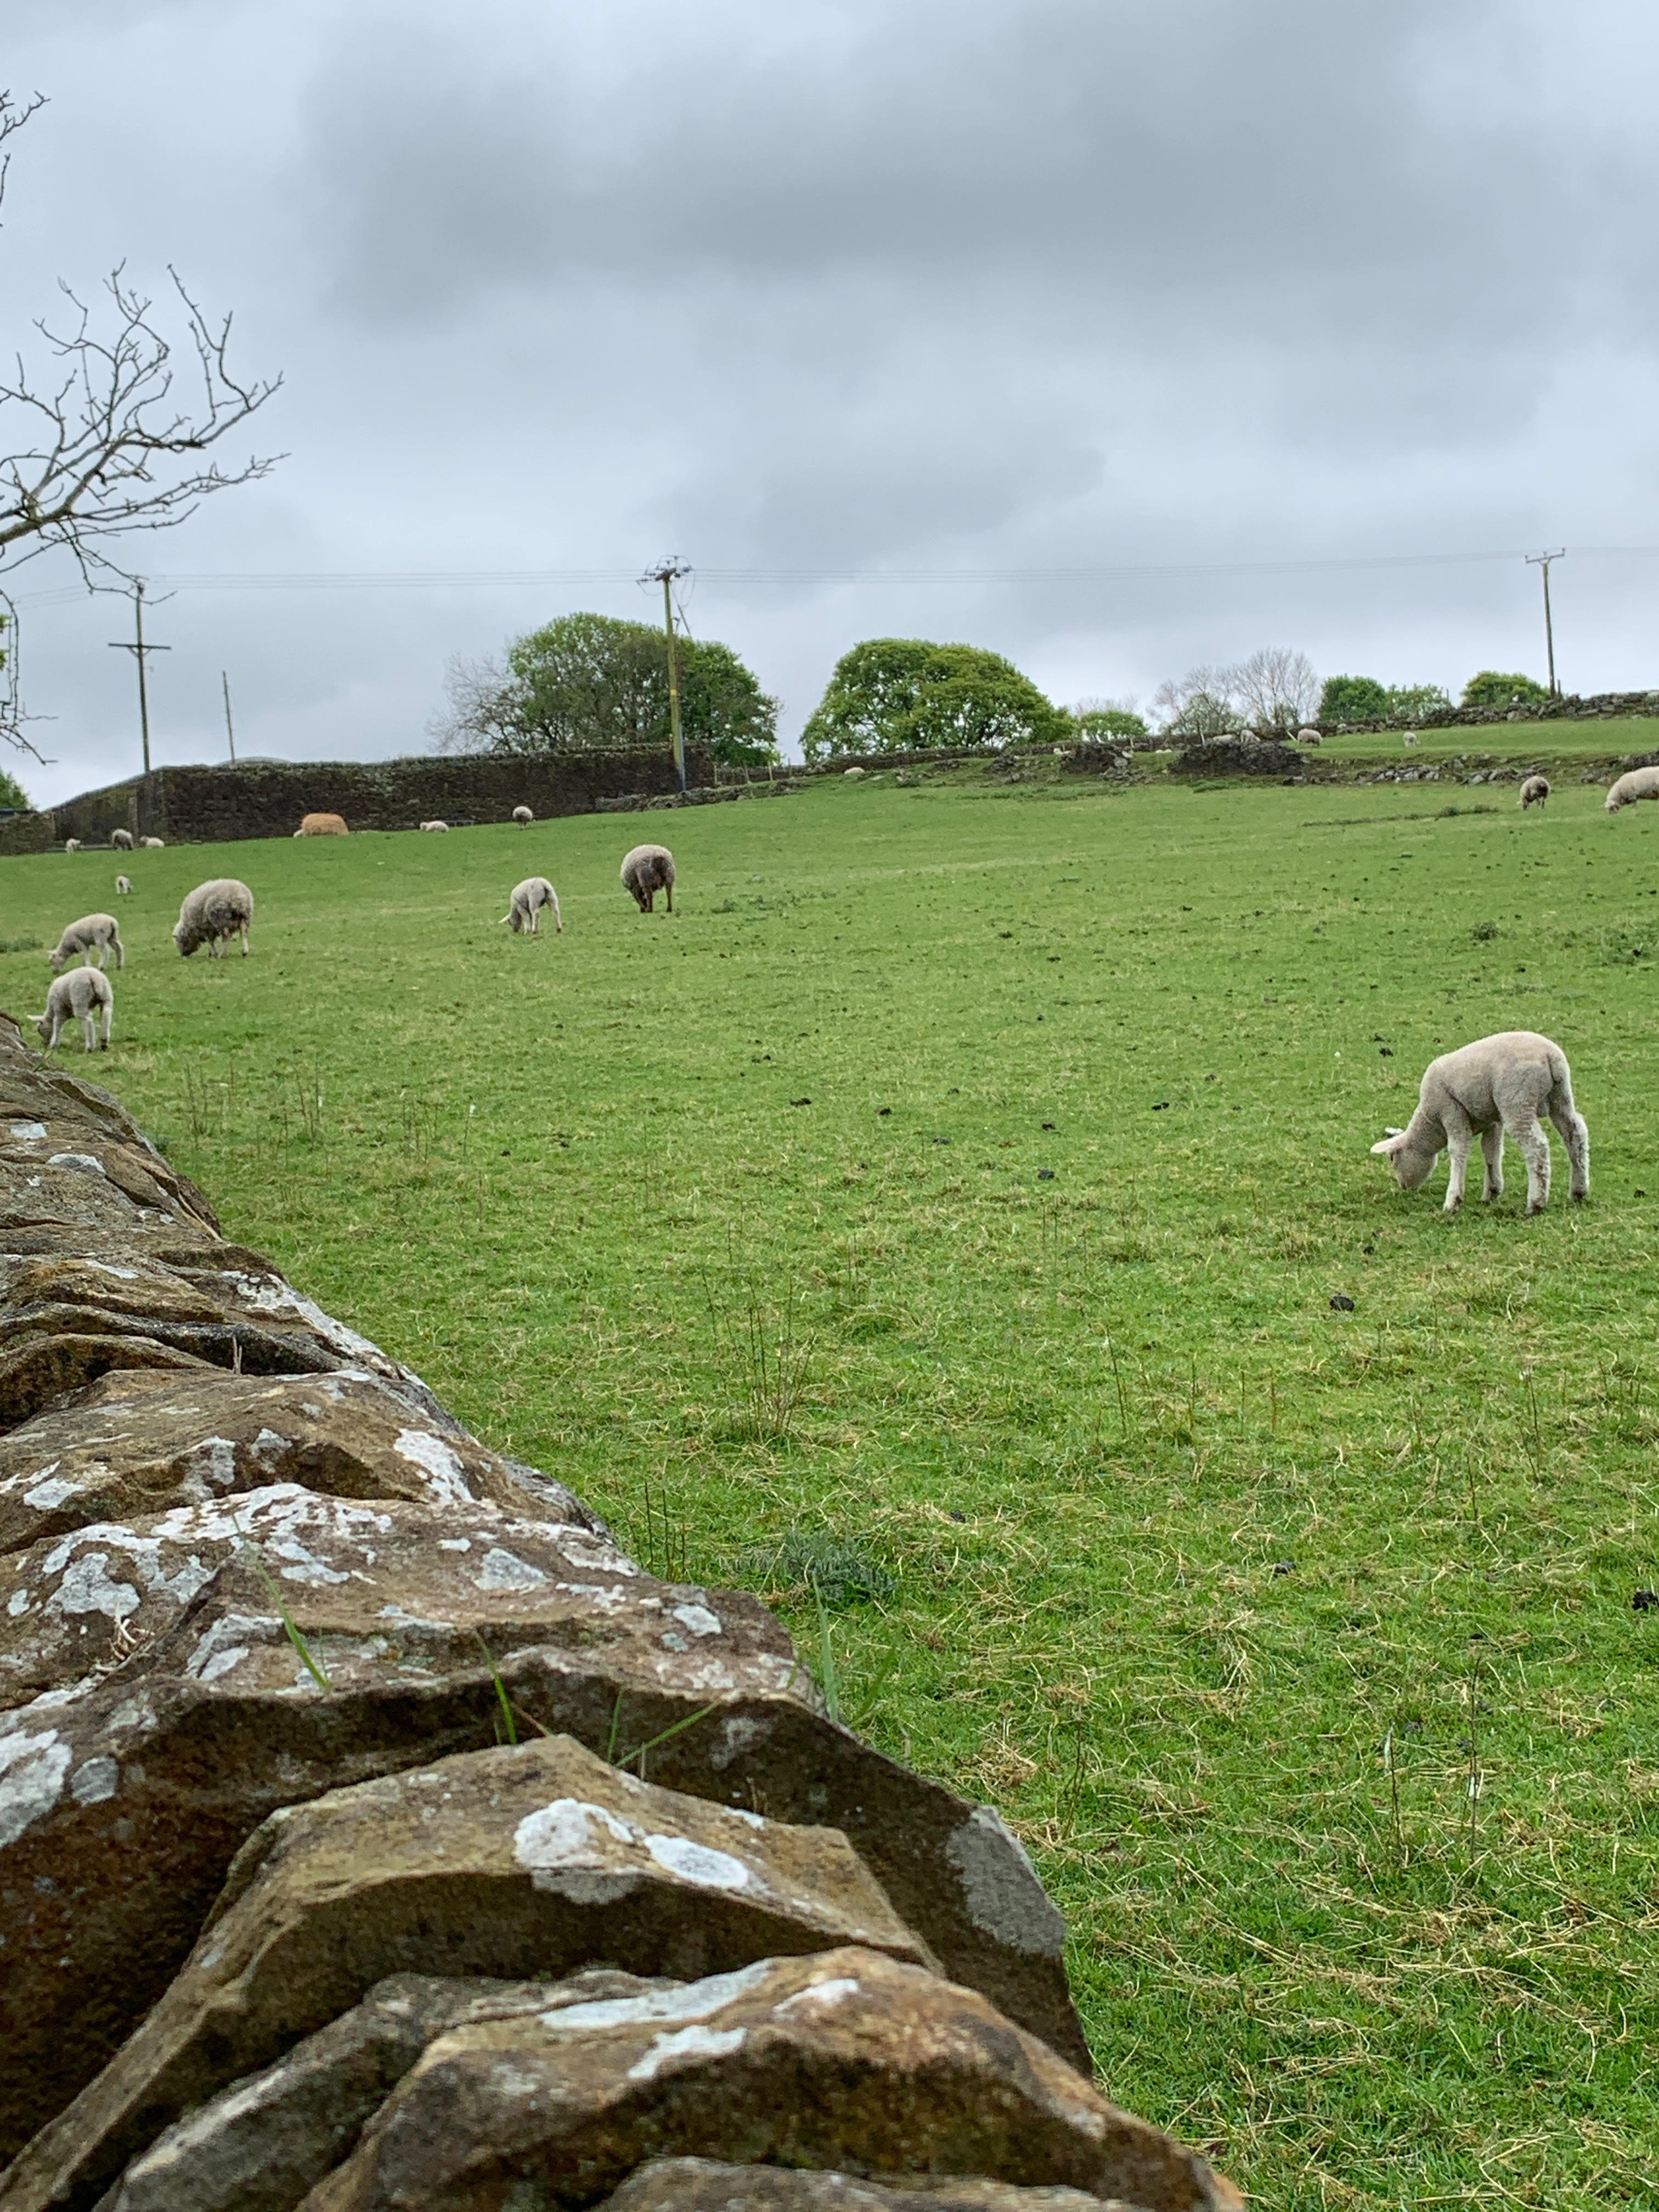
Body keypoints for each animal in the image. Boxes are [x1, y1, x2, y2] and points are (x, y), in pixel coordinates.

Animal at [34, 965, 113, 1053]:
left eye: (39, 1030)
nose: (45, 1044)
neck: (51, 1009)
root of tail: (94, 978)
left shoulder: (58, 1007)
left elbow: (58, 1023)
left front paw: (54, 1045)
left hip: (80, 998)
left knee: (88, 1022)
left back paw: (90, 1048)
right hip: (106, 996)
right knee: (106, 1015)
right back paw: (104, 1043)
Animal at [48, 913, 124, 973]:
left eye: (52, 961)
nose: (54, 972)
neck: (68, 947)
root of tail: (112, 922)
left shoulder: (79, 943)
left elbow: (85, 954)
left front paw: (87, 966)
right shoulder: (86, 944)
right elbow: (86, 954)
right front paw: (84, 967)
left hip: (100, 936)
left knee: (105, 951)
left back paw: (101, 967)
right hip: (112, 936)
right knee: (118, 948)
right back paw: (119, 966)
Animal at [173, 877, 254, 959]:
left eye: (180, 941)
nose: (183, 955)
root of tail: (239, 896)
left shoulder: (205, 928)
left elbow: (210, 941)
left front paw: (214, 953)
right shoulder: (210, 929)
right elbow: (212, 941)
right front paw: (210, 954)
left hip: (221, 920)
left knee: (227, 937)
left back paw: (222, 954)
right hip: (244, 918)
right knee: (244, 933)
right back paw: (245, 952)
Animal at [621, 842, 675, 913]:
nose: (642, 910)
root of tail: (659, 857)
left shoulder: (635, 888)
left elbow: (639, 898)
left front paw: (643, 908)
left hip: (646, 878)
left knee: (649, 895)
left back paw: (649, 909)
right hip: (669, 875)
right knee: (669, 893)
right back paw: (669, 909)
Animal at [1370, 1030, 1588, 1216]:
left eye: (1393, 1159)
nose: (1404, 1188)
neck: (1431, 1122)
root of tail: (1551, 1057)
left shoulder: (1452, 1111)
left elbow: (1458, 1151)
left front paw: (1452, 1201)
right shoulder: (1491, 1121)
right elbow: (1491, 1152)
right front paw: (1491, 1193)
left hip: (1517, 1101)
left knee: (1537, 1146)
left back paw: (1536, 1203)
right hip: (1560, 1096)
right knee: (1575, 1133)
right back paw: (1579, 1191)